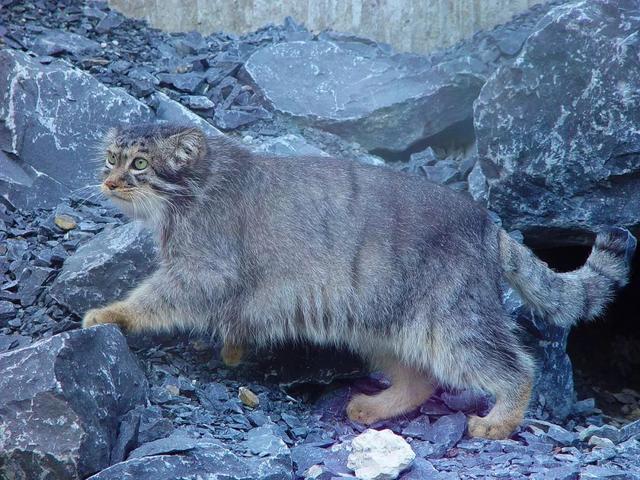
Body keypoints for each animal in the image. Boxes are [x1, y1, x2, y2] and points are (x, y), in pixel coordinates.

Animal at [82, 123, 632, 438]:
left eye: (139, 164)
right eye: (110, 158)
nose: (106, 181)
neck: (195, 189)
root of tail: (488, 224)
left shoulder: (203, 268)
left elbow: (156, 297)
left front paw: (111, 313)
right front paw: (233, 348)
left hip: (454, 320)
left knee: (514, 367)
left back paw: (499, 421)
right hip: (379, 322)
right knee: (419, 377)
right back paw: (377, 407)